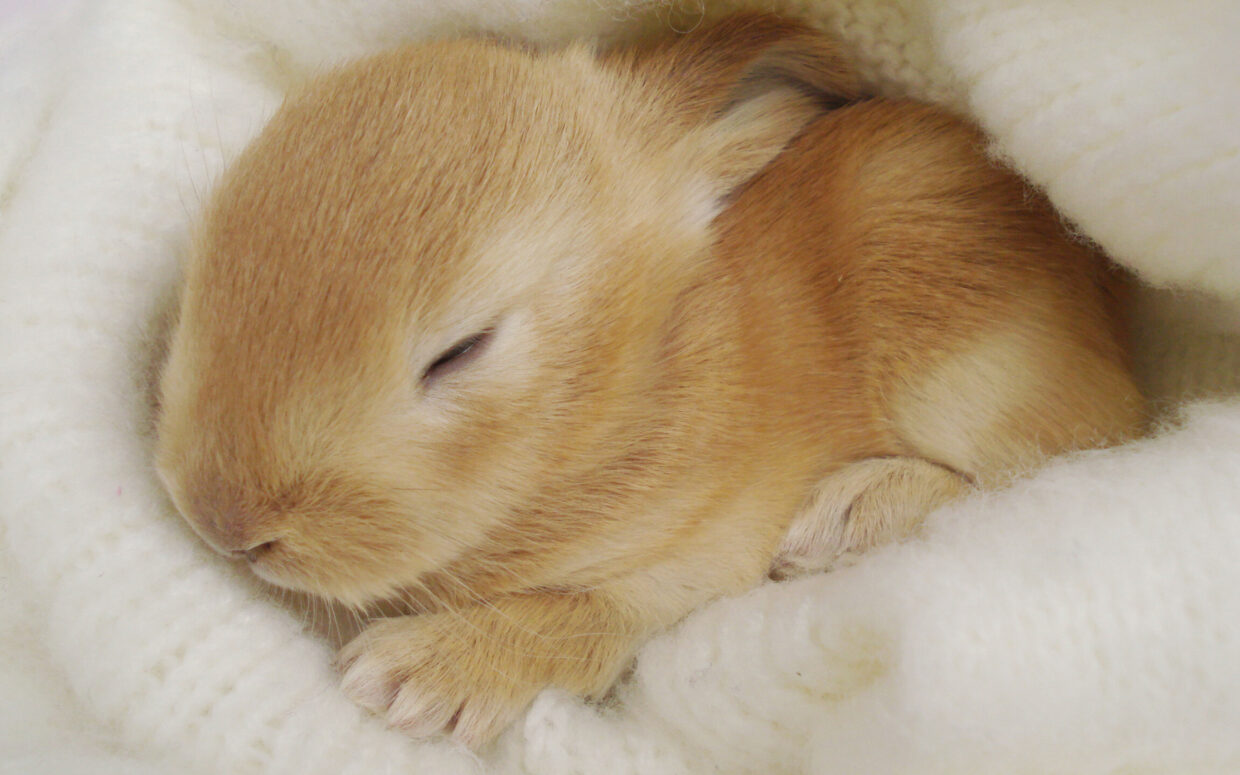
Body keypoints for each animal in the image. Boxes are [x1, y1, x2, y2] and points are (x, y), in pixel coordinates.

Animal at [154, 14, 1145, 748]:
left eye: (460, 350)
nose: (223, 520)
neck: (620, 387)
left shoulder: (688, 560)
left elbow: (577, 617)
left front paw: (408, 676)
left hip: (960, 355)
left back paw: (844, 516)